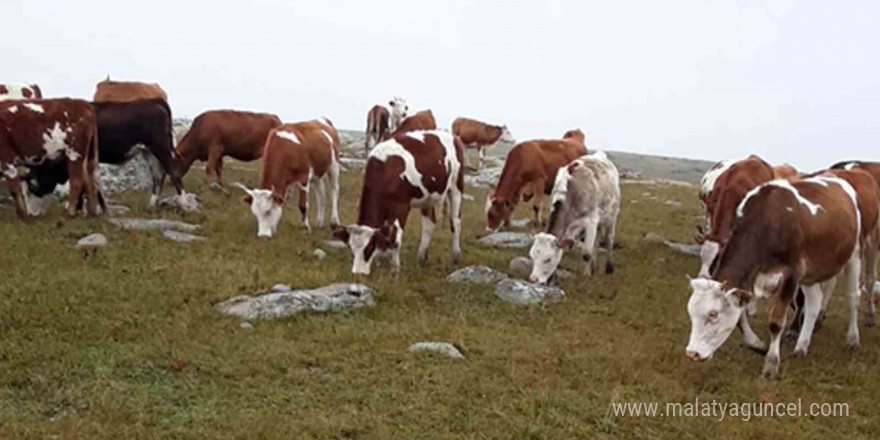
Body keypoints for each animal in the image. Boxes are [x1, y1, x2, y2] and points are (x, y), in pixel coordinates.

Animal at [332, 130, 468, 276]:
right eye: (351, 248)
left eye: (369, 247)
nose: (358, 273)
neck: (385, 171)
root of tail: (452, 136)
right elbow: (385, 235)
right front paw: (380, 262)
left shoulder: (402, 206)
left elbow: (395, 238)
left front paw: (395, 270)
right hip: (428, 197)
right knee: (429, 223)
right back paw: (421, 258)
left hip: (456, 186)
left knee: (455, 222)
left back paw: (455, 259)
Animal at [524, 150, 624, 284]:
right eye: (532, 256)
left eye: (548, 259)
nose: (533, 279)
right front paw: (553, 277)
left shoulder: (591, 221)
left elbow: (586, 253)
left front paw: (586, 276)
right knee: (597, 242)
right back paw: (594, 267)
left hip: (612, 216)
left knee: (609, 239)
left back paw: (609, 268)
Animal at [684, 175, 864, 378]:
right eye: (691, 312)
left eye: (713, 314)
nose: (692, 353)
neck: (767, 223)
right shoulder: (749, 280)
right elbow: (740, 318)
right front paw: (758, 345)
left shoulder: (791, 275)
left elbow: (776, 323)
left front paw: (771, 364)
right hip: (810, 274)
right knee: (814, 303)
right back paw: (802, 346)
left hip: (854, 253)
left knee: (853, 297)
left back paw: (852, 339)